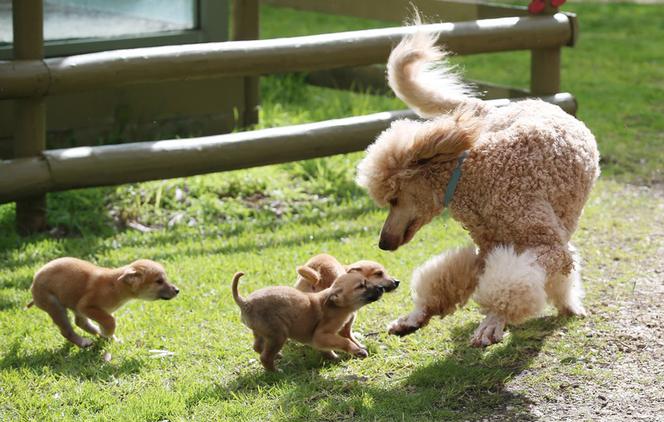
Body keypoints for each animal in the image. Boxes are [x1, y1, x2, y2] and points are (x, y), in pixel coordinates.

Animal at [27, 256, 179, 348]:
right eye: (159, 281)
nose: (177, 290)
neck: (115, 286)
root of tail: (33, 284)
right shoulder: (86, 306)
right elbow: (110, 321)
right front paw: (107, 333)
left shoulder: (90, 309)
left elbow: (105, 320)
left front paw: (108, 336)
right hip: (55, 306)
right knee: (67, 330)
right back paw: (83, 342)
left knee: (80, 323)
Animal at [231, 272, 384, 370]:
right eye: (361, 286)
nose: (381, 288)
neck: (336, 306)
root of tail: (245, 302)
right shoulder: (321, 335)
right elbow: (344, 341)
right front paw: (357, 351)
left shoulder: (322, 339)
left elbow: (328, 349)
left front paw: (333, 357)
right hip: (279, 334)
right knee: (264, 357)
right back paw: (275, 372)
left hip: (263, 332)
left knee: (257, 347)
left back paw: (278, 356)